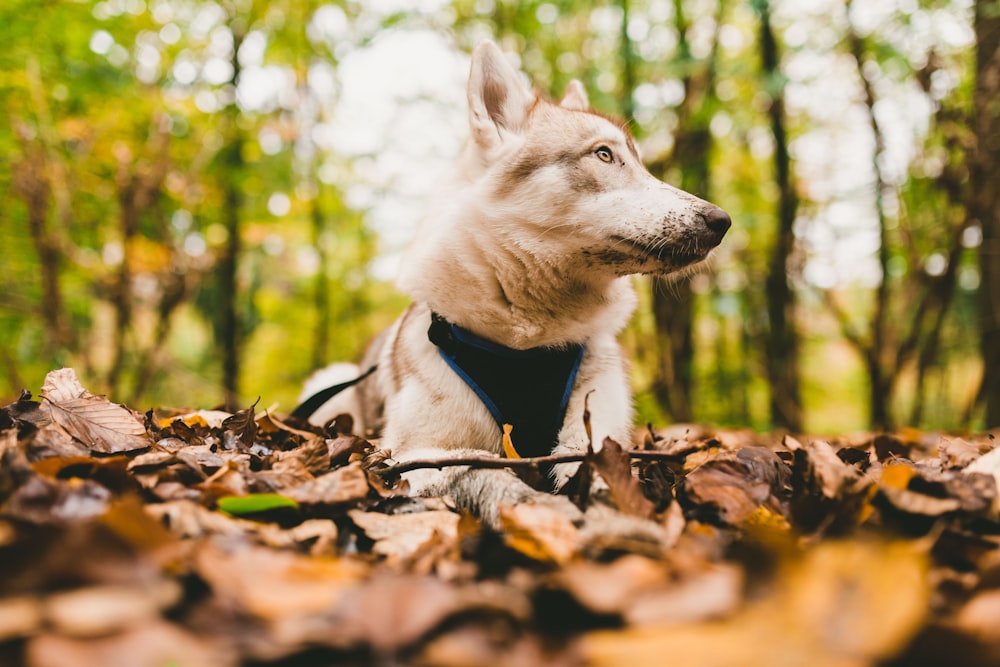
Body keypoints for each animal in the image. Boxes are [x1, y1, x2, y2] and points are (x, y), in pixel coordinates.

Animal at [292, 40, 732, 528]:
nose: (721, 221)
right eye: (603, 155)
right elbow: (488, 475)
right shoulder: (415, 455)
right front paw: (547, 515)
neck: (528, 341)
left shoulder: (599, 432)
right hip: (330, 387)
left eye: (641, 163)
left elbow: (597, 470)